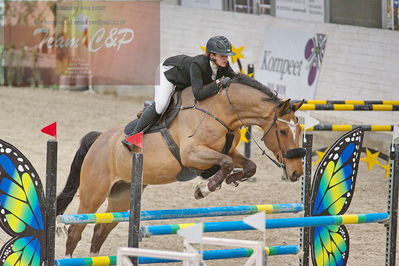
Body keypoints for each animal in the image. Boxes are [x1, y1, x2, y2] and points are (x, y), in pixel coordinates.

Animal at [57, 74, 306, 256]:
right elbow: (224, 163)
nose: (296, 172)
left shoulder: (229, 152)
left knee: (100, 229)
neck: (221, 111)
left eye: (300, 130)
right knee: (75, 230)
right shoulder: (191, 154)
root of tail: (99, 139)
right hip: (93, 194)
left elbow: (248, 165)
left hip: (122, 196)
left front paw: (231, 179)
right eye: (283, 131)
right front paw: (204, 189)